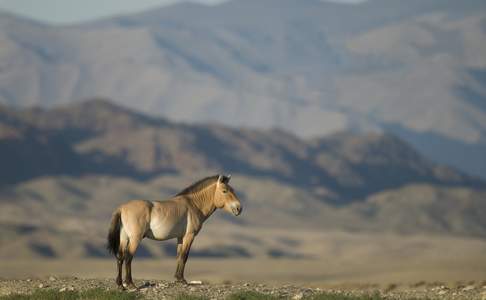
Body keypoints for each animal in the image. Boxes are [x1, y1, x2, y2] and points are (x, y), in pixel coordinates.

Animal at [107, 175, 243, 290]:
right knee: (128, 257)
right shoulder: (189, 236)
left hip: (124, 238)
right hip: (135, 238)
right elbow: (184, 256)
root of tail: (122, 208)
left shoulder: (180, 238)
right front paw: (182, 280)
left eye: (233, 190)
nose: (239, 208)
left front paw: (178, 278)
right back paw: (130, 284)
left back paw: (120, 285)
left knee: (120, 257)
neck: (194, 204)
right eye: (225, 190)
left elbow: (179, 256)